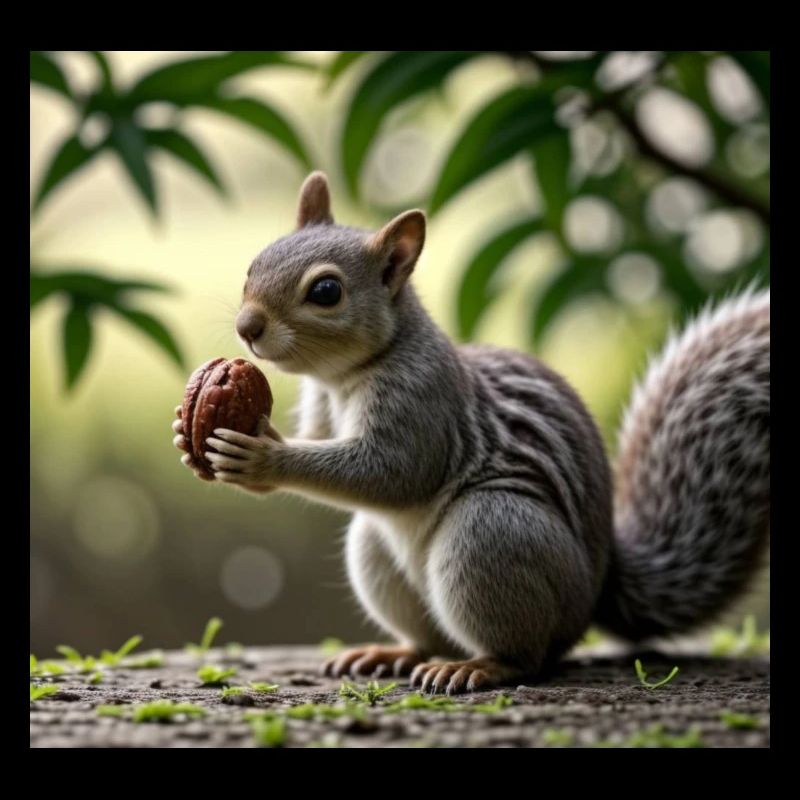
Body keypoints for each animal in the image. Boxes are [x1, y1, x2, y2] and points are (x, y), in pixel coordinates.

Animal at [172, 171, 770, 695]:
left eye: (325, 291)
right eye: (254, 263)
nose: (247, 328)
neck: (346, 376)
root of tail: (595, 591)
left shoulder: (424, 401)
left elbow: (390, 472)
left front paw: (262, 458)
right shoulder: (322, 406)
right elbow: (324, 439)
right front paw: (187, 430)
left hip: (491, 533)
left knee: (529, 655)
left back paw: (481, 667)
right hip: (377, 551)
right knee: (429, 636)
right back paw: (394, 653)